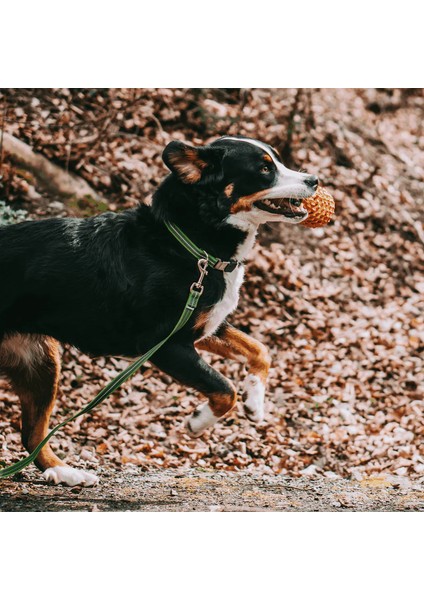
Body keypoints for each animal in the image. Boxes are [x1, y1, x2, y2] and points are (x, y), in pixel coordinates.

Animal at [0, 135, 318, 482]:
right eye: (264, 169)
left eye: (277, 160)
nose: (314, 180)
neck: (190, 246)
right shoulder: (165, 345)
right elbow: (224, 389)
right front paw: (200, 420)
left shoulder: (204, 327)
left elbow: (260, 351)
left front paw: (255, 399)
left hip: (40, 363)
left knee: (31, 434)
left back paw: (66, 473)